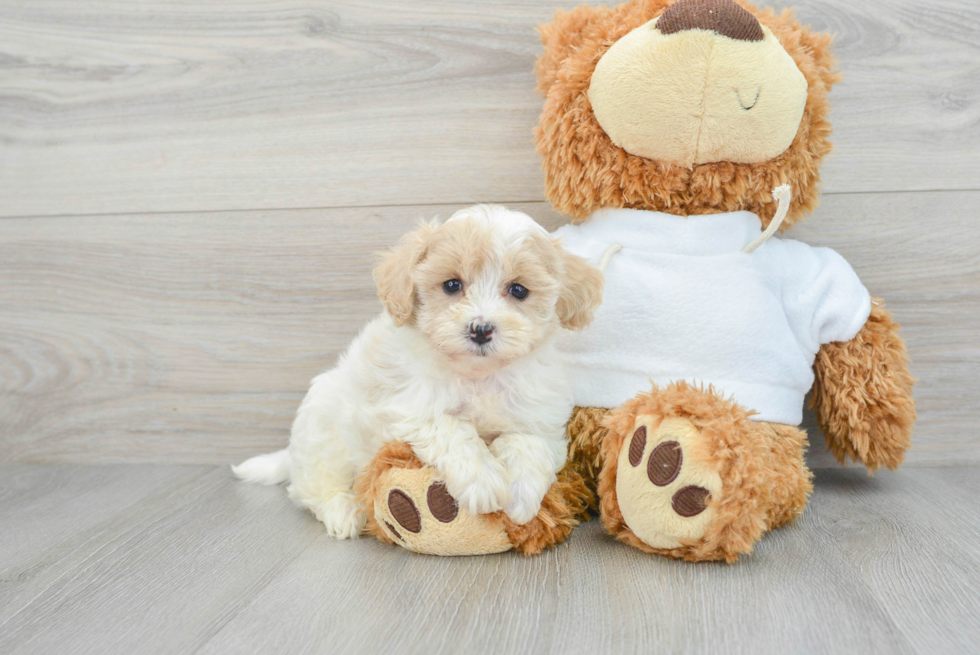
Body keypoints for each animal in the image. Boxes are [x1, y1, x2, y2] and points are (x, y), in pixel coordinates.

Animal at [235, 205, 604, 540]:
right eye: (452, 285)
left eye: (518, 290)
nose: (481, 329)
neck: (478, 376)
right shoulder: (410, 407)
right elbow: (453, 428)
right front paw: (484, 479)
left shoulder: (538, 415)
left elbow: (528, 444)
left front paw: (521, 494)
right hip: (323, 430)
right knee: (313, 486)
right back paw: (343, 510)